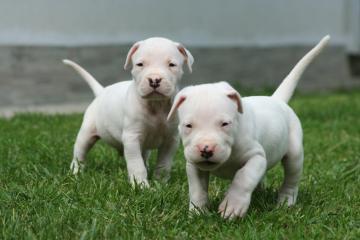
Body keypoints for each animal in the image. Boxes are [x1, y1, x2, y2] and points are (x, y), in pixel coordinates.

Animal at [63, 38, 195, 188]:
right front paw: (141, 185)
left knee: (144, 156)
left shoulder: (171, 140)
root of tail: (102, 91)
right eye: (140, 64)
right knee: (80, 152)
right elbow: (136, 164)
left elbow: (164, 164)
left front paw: (160, 183)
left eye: (172, 64)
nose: (154, 80)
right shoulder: (132, 138)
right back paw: (76, 172)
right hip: (87, 132)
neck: (156, 105)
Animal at [167, 35, 330, 218]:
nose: (206, 149)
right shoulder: (194, 165)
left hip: (294, 152)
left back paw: (285, 202)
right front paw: (197, 212)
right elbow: (197, 189)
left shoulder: (256, 157)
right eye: (188, 125)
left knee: (291, 178)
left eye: (225, 124)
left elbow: (243, 178)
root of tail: (276, 99)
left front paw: (232, 206)